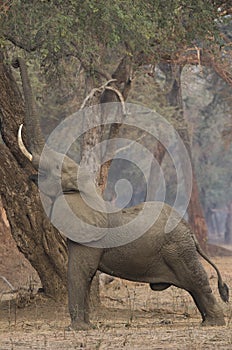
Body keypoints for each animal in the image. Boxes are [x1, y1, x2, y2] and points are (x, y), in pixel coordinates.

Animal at [13, 58, 229, 330]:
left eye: (51, 171)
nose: (14, 61)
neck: (88, 191)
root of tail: (190, 233)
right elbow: (83, 274)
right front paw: (87, 326)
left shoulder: (89, 239)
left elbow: (78, 272)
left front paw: (78, 329)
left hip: (179, 250)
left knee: (197, 282)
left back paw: (213, 324)